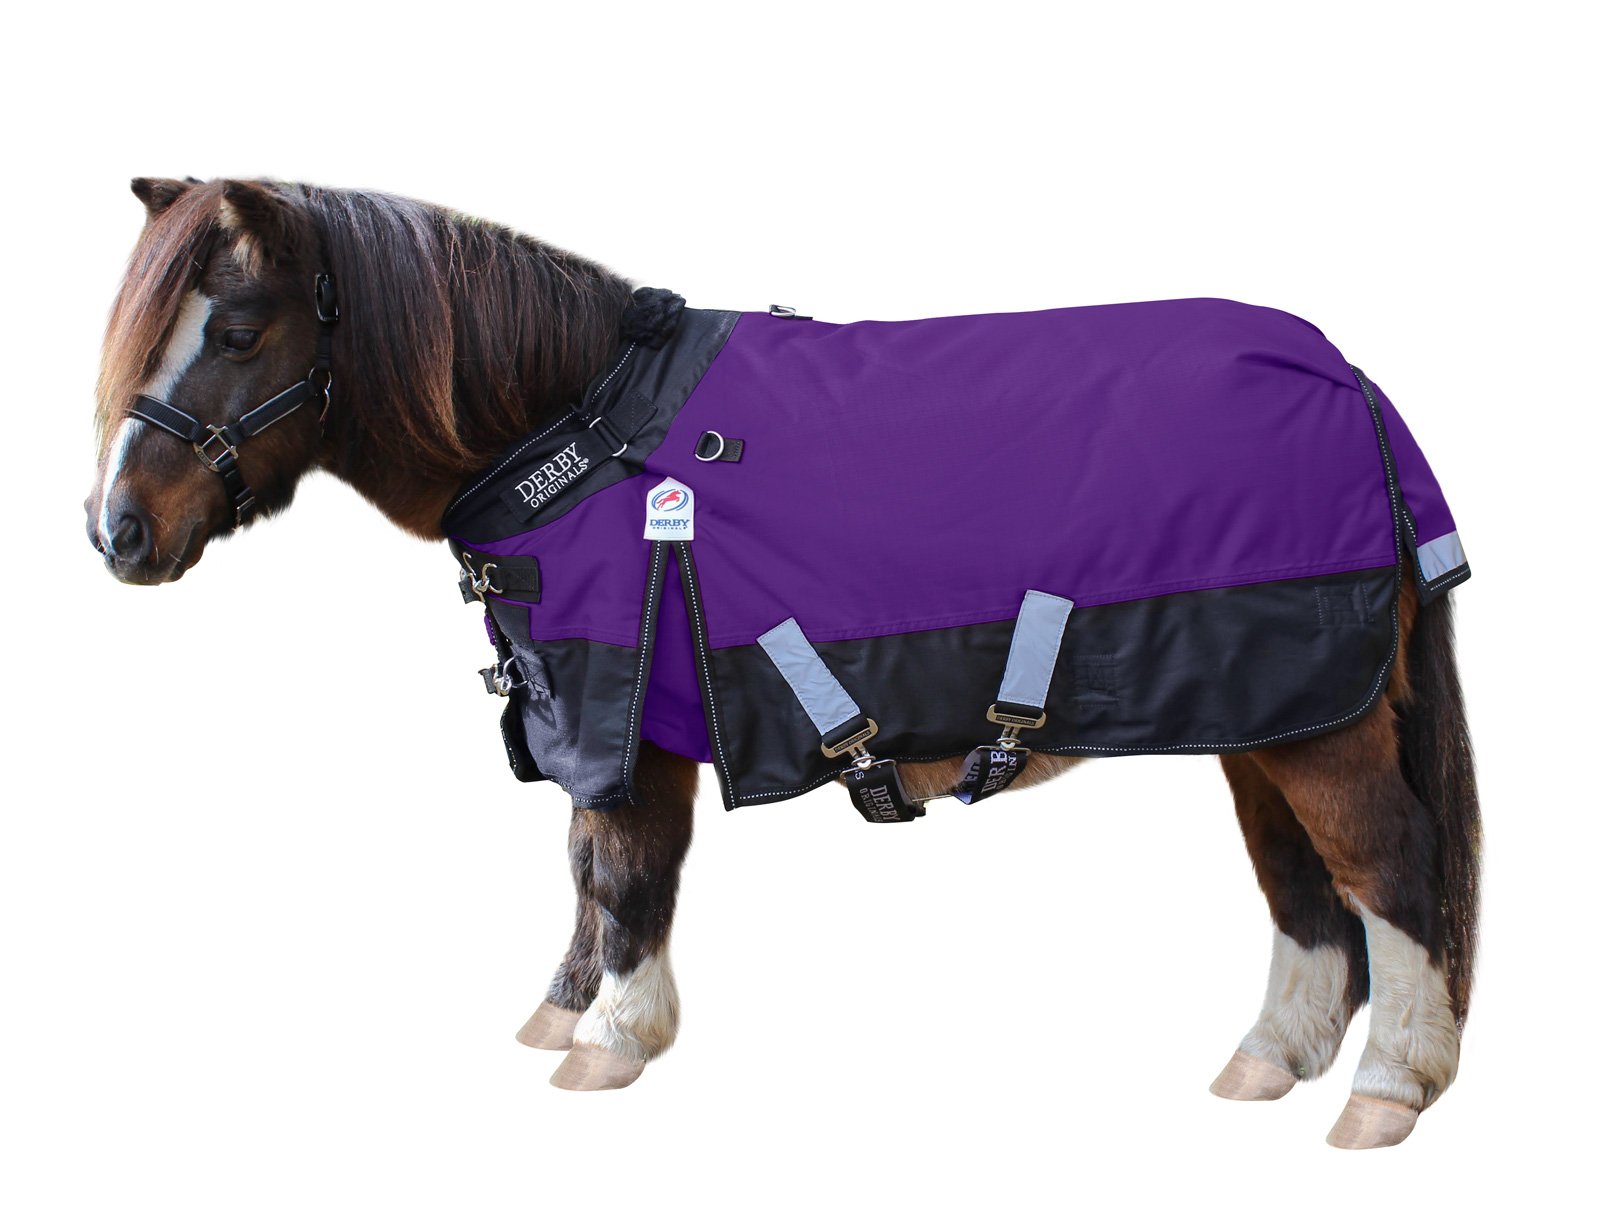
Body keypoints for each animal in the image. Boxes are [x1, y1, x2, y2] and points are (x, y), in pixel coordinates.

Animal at [85, 176, 1480, 1149]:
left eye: (241, 329)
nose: (117, 533)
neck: (582, 429)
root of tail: (1345, 375)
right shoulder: (587, 711)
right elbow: (585, 869)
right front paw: (563, 1009)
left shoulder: (624, 712)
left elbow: (623, 869)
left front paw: (612, 1036)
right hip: (1263, 715)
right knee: (1302, 888)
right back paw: (1268, 1058)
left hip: (1317, 722)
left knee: (1386, 869)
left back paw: (1386, 1089)